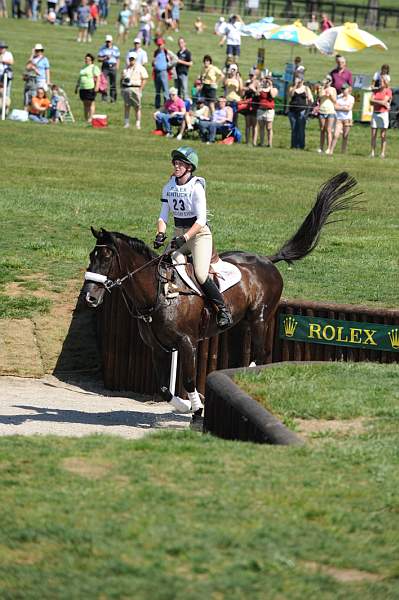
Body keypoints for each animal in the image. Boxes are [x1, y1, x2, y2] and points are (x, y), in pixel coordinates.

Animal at [83, 171, 360, 418]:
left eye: (106, 257)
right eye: (91, 256)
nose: (89, 297)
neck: (157, 296)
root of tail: (267, 260)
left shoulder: (187, 342)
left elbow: (188, 379)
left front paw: (197, 408)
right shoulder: (158, 348)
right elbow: (163, 388)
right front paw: (185, 405)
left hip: (259, 319)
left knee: (261, 354)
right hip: (238, 326)